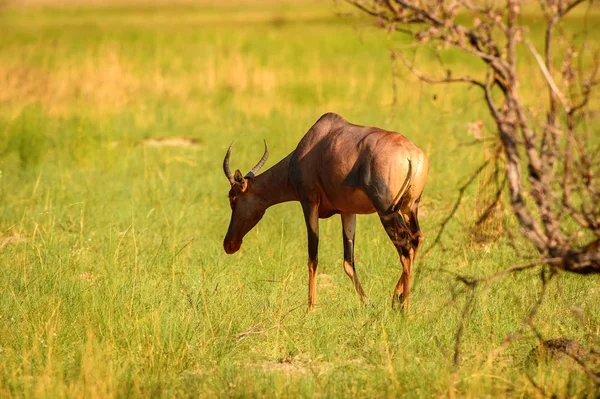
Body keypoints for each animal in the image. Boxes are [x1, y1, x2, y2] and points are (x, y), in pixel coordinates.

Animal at [223, 112, 428, 312]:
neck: (311, 146)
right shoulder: (347, 211)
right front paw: (368, 304)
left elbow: (312, 258)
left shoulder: (309, 203)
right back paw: (397, 299)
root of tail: (412, 155)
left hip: (386, 211)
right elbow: (348, 262)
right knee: (416, 239)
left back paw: (405, 308)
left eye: (233, 198)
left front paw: (310, 309)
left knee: (405, 247)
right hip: (409, 208)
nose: (229, 245)